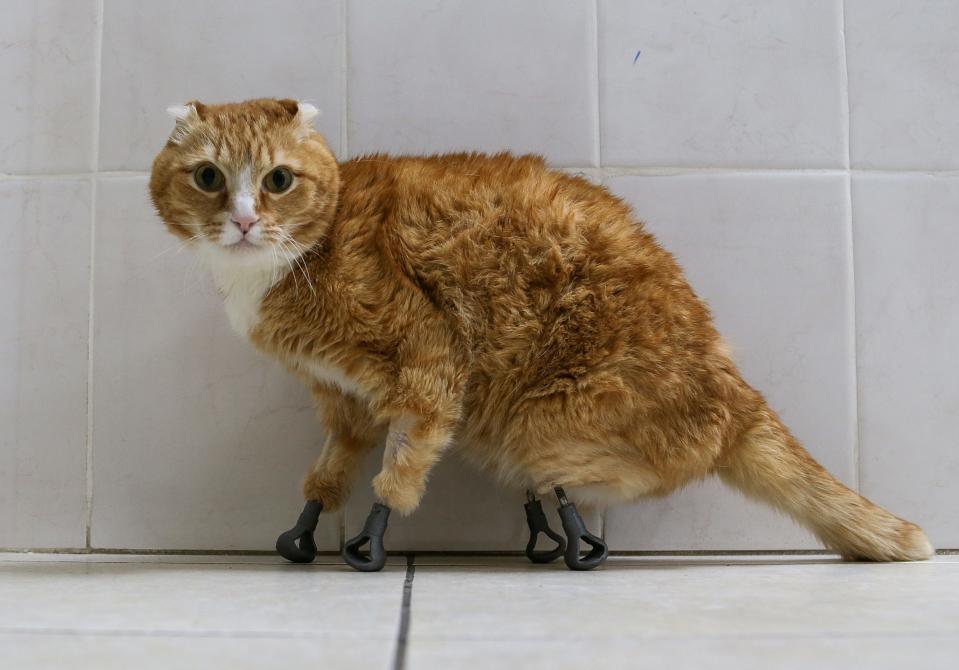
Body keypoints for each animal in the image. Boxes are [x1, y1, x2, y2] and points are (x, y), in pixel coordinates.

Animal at [148, 98, 928, 572]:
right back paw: (543, 528)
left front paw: (371, 538)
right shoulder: (340, 400)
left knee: (571, 476)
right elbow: (328, 472)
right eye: (209, 177)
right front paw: (305, 529)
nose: (244, 220)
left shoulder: (429, 363)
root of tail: (737, 390)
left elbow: (401, 466)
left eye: (278, 180)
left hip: (541, 419)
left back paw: (568, 531)